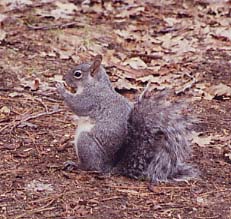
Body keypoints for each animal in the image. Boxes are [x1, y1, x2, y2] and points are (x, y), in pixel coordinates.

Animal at [56, 55, 199, 183]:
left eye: (77, 74)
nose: (64, 78)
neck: (95, 84)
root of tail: (109, 167)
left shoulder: (92, 98)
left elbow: (78, 105)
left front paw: (60, 88)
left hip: (86, 143)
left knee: (91, 167)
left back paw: (76, 165)